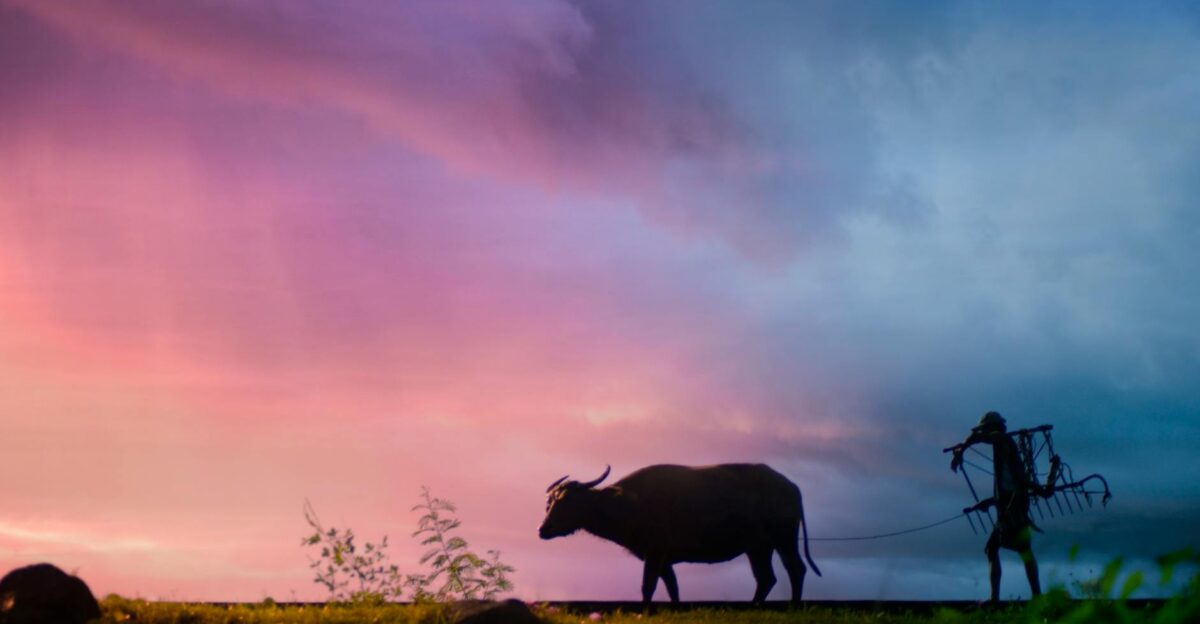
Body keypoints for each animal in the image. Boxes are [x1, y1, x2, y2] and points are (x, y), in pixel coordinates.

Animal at [539, 463, 820, 604]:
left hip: (784, 540)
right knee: (766, 578)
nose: (543, 529)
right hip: (758, 548)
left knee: (796, 569)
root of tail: (792, 487)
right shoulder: (663, 559)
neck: (629, 503)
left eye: (569, 501)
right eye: (550, 502)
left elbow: (648, 587)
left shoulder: (655, 553)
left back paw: (794, 606)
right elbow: (672, 588)